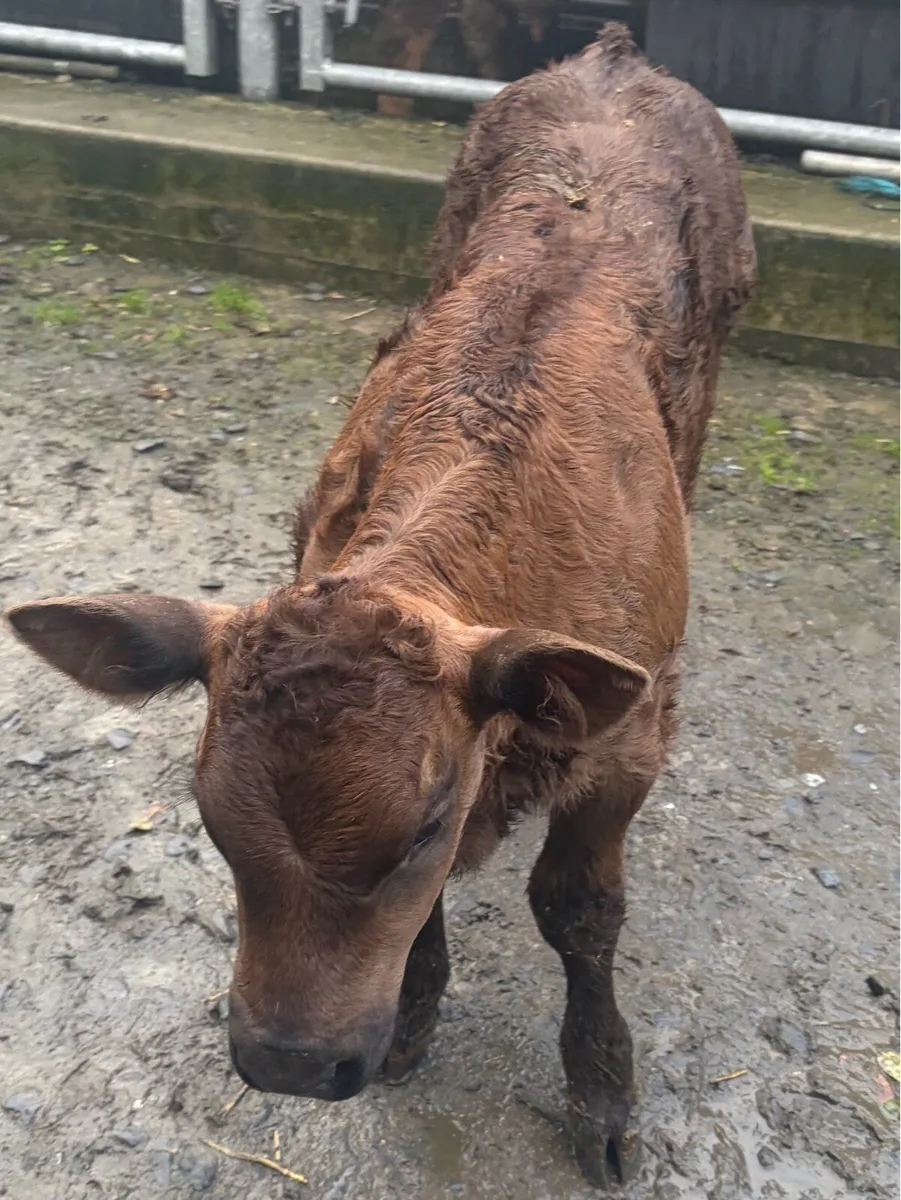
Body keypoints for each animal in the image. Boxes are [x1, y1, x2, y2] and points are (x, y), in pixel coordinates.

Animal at [6, 26, 755, 1189]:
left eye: (421, 828)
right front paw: (413, 1011)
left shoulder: (629, 734)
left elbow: (578, 913)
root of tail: (612, 53)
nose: (290, 1062)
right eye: (210, 823)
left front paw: (601, 1091)